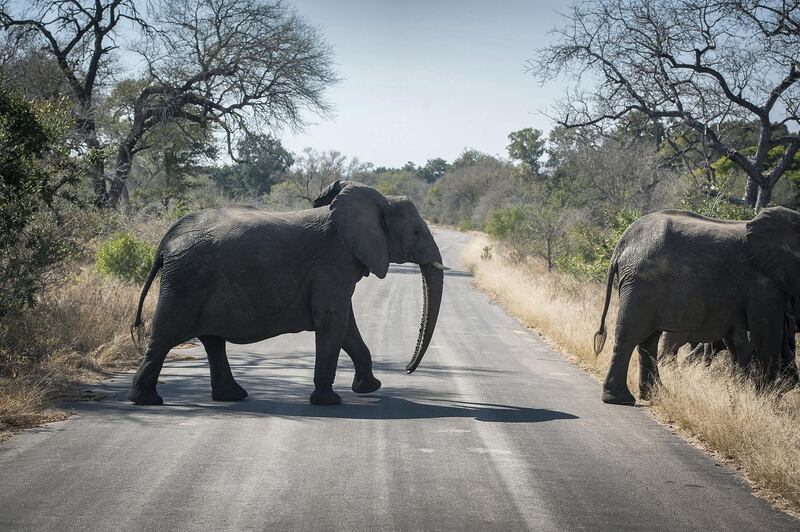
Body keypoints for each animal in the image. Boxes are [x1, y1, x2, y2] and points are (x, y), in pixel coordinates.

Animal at [128, 181, 446, 406]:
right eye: (417, 232)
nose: (407, 370)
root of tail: (165, 243)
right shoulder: (333, 261)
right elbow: (333, 320)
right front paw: (329, 402)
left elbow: (346, 325)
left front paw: (369, 388)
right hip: (187, 280)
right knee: (165, 336)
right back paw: (147, 401)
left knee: (212, 341)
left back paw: (232, 396)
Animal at [592, 206, 800, 406]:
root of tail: (622, 243)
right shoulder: (764, 284)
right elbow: (767, 337)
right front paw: (763, 402)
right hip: (642, 282)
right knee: (631, 334)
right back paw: (621, 399)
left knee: (648, 340)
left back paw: (656, 396)